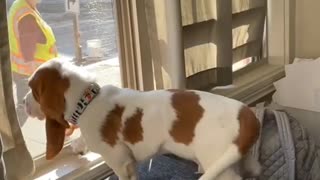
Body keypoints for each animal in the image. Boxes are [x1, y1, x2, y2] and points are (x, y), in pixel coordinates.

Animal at [24, 58, 260, 179]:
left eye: (33, 90)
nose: (24, 103)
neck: (88, 100)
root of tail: (246, 113)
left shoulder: (119, 162)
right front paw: (77, 146)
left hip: (217, 163)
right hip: (239, 159)